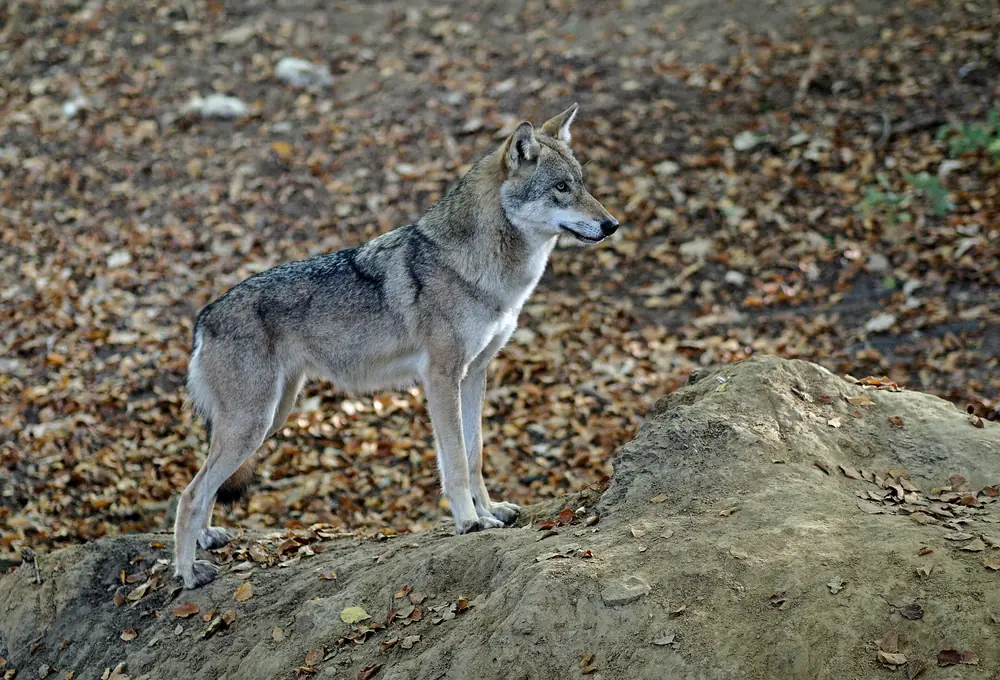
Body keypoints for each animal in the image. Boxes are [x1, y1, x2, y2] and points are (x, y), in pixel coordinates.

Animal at [173, 104, 619, 588]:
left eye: (582, 183)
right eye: (561, 188)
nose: (612, 224)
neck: (487, 274)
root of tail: (204, 316)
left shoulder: (475, 375)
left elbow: (475, 455)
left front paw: (491, 510)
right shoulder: (440, 378)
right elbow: (455, 462)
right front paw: (469, 522)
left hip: (271, 417)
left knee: (204, 485)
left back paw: (207, 539)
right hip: (254, 423)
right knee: (189, 493)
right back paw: (188, 573)